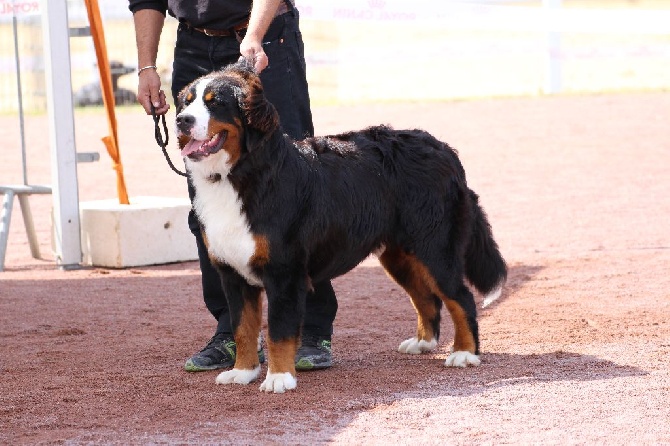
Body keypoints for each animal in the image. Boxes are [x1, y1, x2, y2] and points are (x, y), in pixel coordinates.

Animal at [176, 57, 506, 392]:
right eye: (187, 102)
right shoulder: (232, 273)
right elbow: (243, 328)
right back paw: (423, 343)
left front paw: (279, 377)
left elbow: (278, 332)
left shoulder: (284, 272)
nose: (181, 121)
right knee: (426, 298)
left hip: (435, 248)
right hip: (399, 255)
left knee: (460, 297)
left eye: (215, 103)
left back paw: (465, 353)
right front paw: (243, 371)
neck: (240, 174)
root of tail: (443, 149)